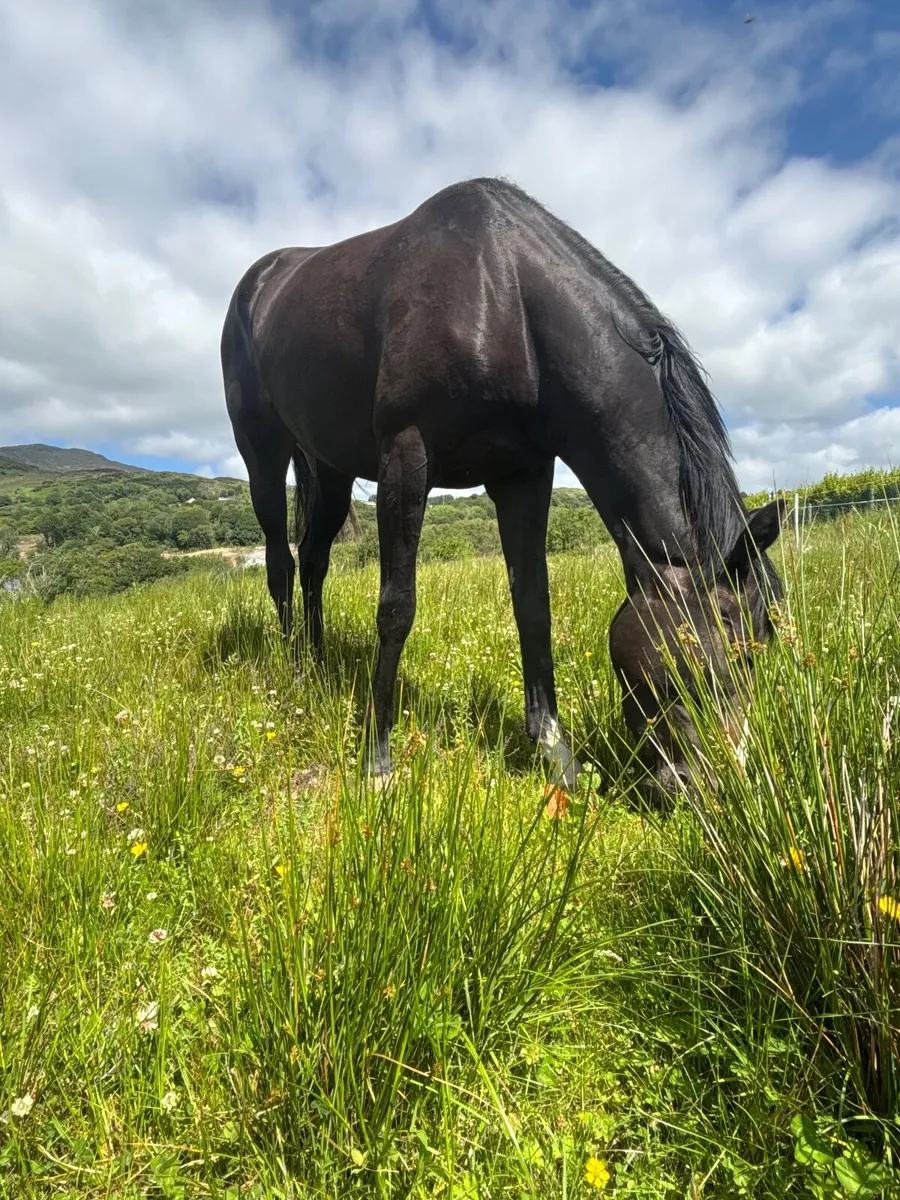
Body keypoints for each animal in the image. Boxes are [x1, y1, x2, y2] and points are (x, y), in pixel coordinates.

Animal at [221, 177, 783, 794]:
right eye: (722, 657)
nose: (711, 786)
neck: (503, 299)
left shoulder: (524, 476)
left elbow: (533, 605)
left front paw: (555, 753)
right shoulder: (406, 456)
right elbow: (396, 608)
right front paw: (376, 760)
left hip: (330, 467)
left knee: (315, 558)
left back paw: (315, 665)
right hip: (263, 454)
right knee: (281, 561)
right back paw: (292, 667)